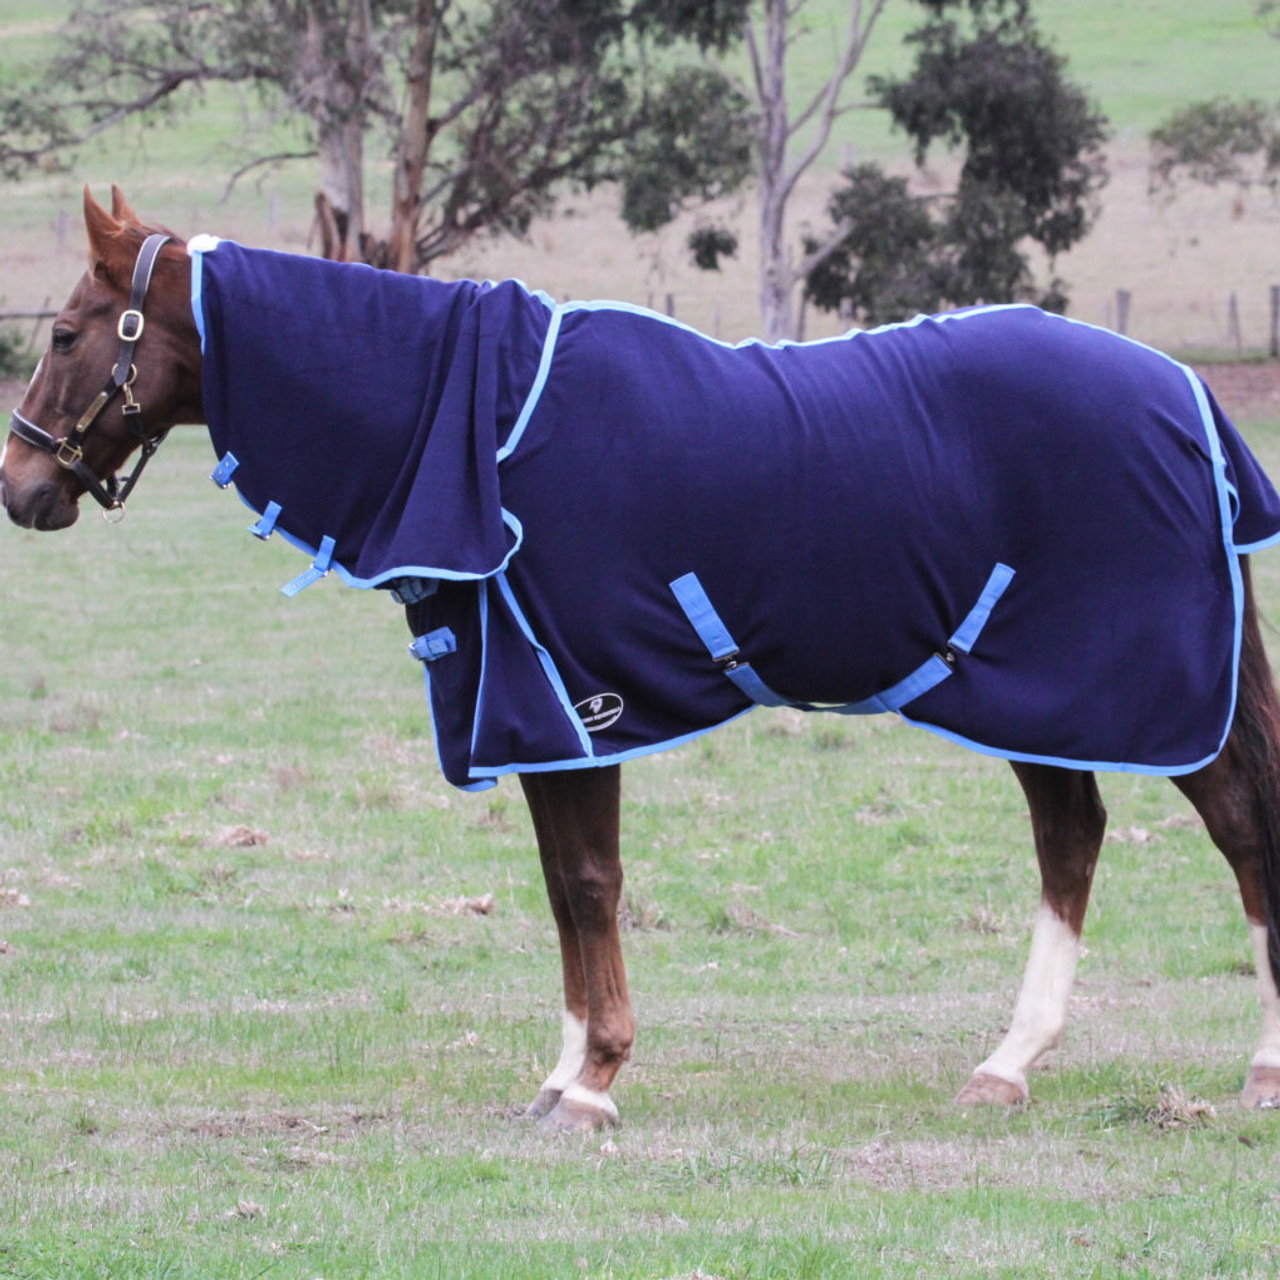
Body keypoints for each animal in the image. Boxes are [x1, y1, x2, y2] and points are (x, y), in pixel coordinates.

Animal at [2, 183, 1280, 1131]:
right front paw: (562, 1069)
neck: (484, 430)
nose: (19, 488)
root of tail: (1184, 395)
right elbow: (561, 890)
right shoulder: (535, 715)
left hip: (1150, 696)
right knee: (1070, 837)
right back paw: (1004, 1064)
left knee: (1238, 833)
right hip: (1029, 696)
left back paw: (1257, 1064)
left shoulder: (571, 699)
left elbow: (585, 882)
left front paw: (594, 1081)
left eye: (62, 334)